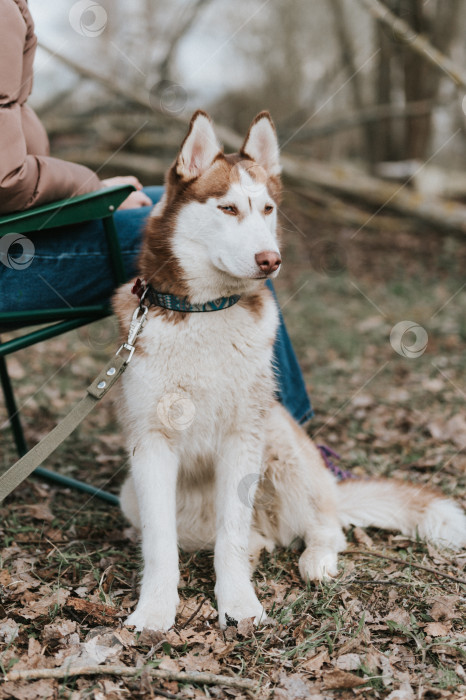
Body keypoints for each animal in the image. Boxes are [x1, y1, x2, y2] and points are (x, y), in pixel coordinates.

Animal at [113, 110, 466, 636]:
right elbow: (161, 544)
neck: (206, 311)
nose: (270, 259)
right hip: (130, 495)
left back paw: (314, 560)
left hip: (280, 441)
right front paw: (155, 610)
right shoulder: (151, 443)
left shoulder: (243, 435)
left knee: (326, 528)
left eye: (267, 209)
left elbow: (231, 538)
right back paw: (260, 548)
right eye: (228, 209)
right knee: (235, 537)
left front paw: (239, 605)